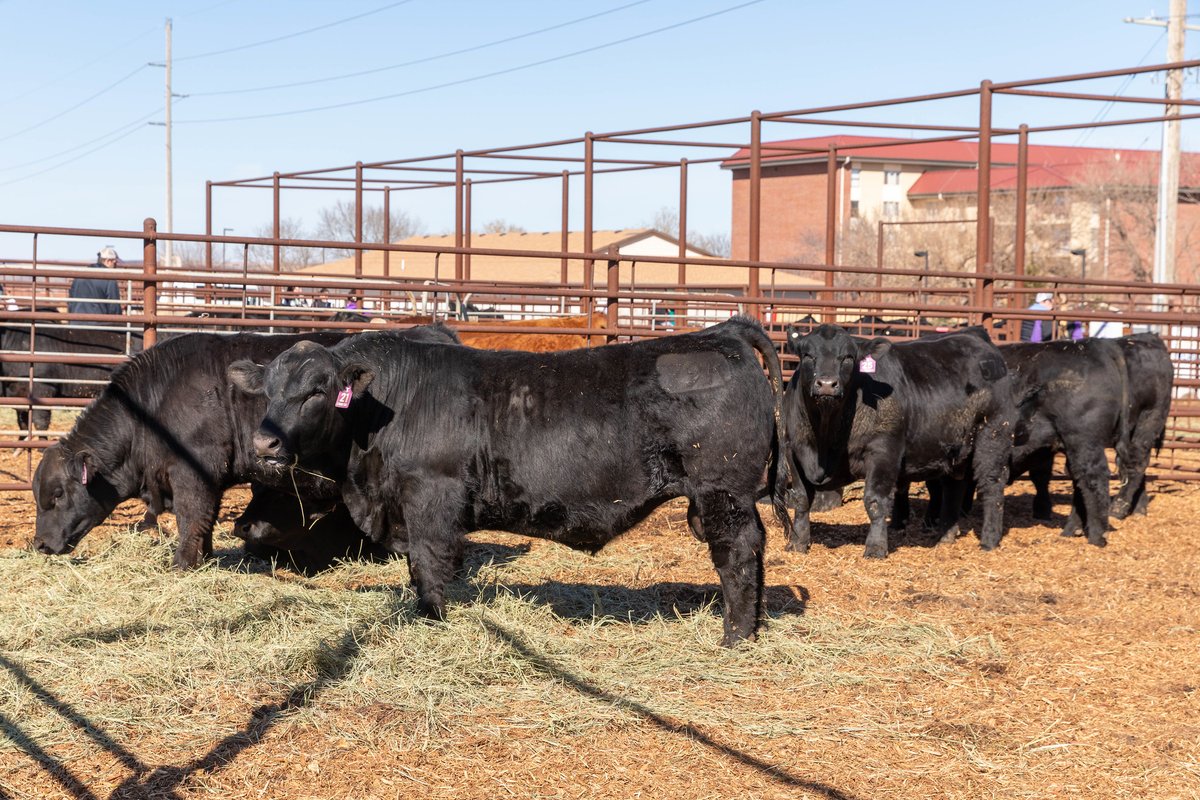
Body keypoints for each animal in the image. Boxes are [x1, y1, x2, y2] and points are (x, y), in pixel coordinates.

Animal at [31, 324, 460, 567]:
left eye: (57, 495)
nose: (40, 545)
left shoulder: (193, 471)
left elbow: (191, 517)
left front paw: (182, 563)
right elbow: (204, 522)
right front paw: (202, 557)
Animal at [227, 316, 789, 646]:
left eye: (317, 391)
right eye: (269, 391)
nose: (265, 444)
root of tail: (725, 331)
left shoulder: (431, 498)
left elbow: (430, 565)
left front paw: (429, 621)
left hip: (723, 491)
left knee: (738, 554)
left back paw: (736, 636)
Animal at [780, 324, 1014, 559]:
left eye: (848, 357)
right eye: (808, 355)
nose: (827, 384)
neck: (825, 438)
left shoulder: (884, 450)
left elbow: (875, 501)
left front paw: (875, 548)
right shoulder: (792, 451)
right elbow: (801, 498)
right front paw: (797, 543)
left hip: (993, 434)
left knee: (992, 484)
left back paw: (989, 540)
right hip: (955, 448)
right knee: (954, 486)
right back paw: (945, 536)